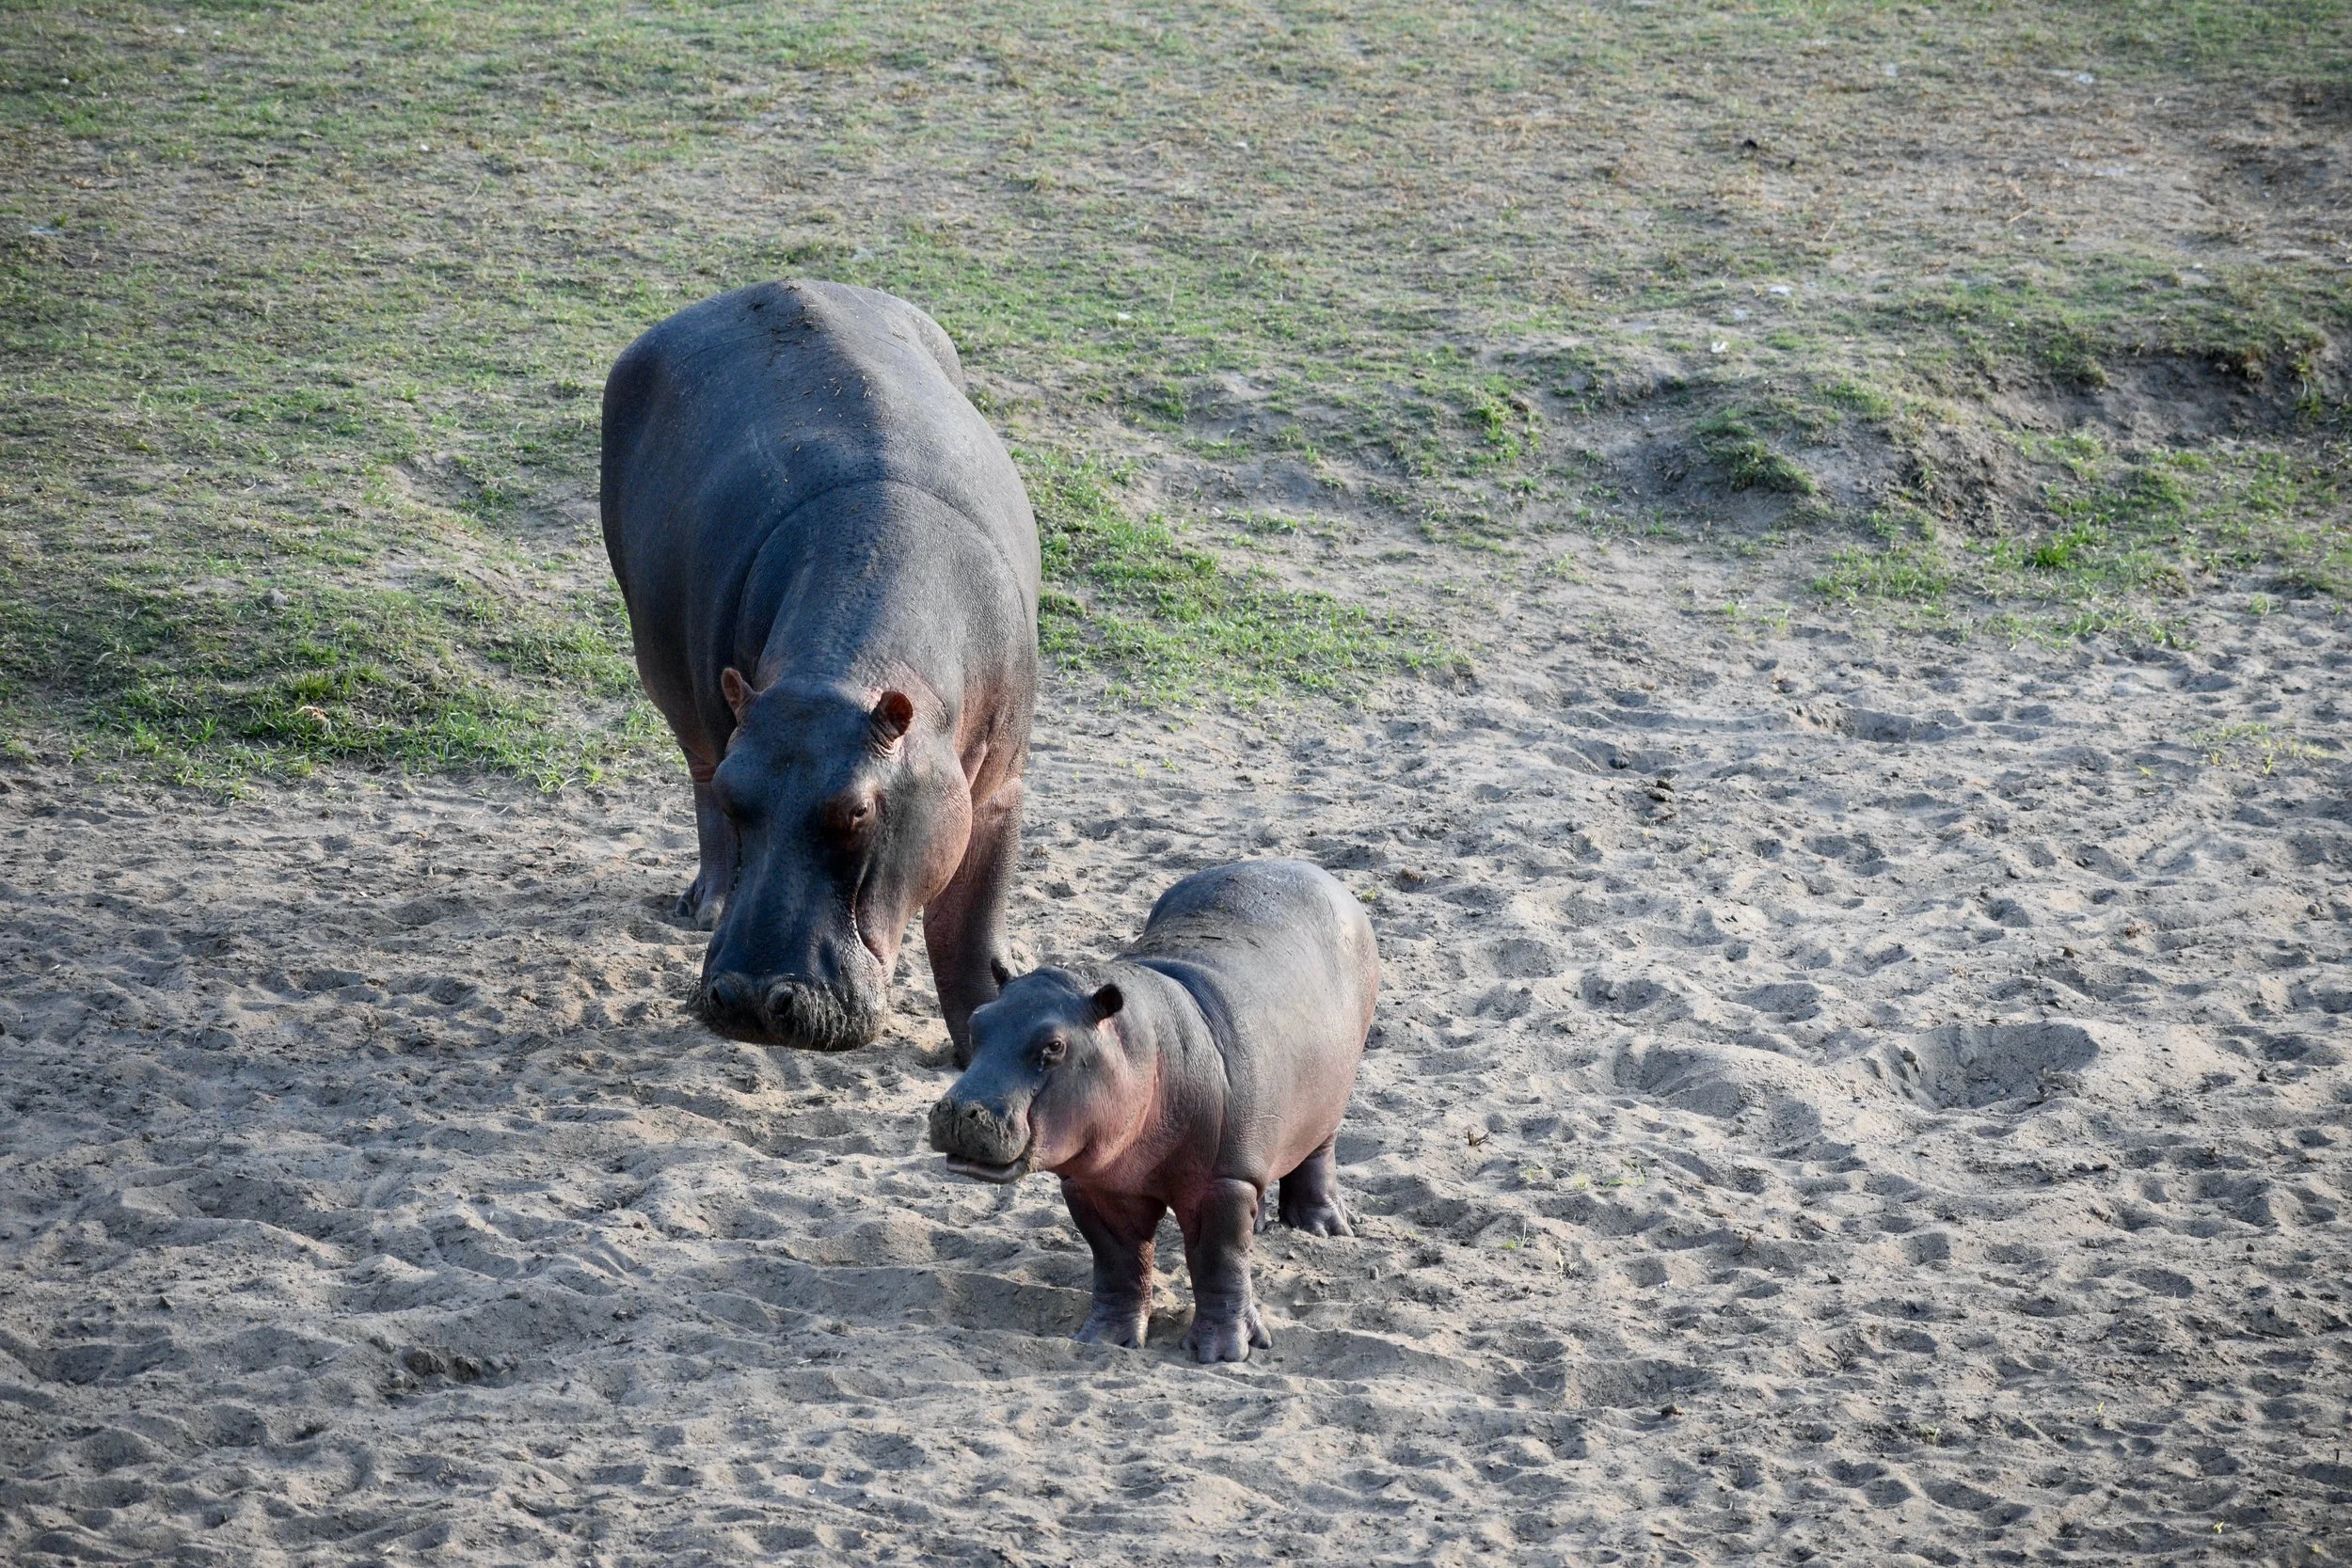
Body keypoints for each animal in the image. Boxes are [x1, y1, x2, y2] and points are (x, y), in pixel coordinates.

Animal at [601, 280, 1039, 1058]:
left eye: (857, 810)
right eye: (742, 795)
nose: (750, 997)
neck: (843, 669)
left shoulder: (996, 792)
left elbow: (967, 935)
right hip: (669, 680)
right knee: (695, 768)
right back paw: (702, 905)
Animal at [928, 860, 1378, 1363]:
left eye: (1055, 1045)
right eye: (977, 1021)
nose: (960, 1110)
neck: (1143, 1045)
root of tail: (1314, 871)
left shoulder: (1221, 1183)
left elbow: (1219, 1262)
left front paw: (1223, 1352)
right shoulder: (1094, 1186)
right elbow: (1119, 1264)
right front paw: (1104, 1338)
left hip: (1329, 1100)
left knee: (1319, 1153)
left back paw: (1323, 1228)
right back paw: (1262, 1222)